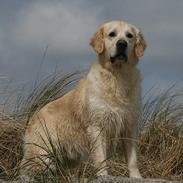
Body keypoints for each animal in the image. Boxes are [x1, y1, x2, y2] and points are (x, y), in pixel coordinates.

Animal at [20, 19, 146, 177]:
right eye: (112, 34)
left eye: (129, 36)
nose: (122, 43)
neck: (118, 76)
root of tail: (33, 116)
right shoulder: (97, 126)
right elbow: (101, 157)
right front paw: (103, 175)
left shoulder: (130, 125)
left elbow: (133, 158)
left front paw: (136, 176)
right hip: (42, 155)